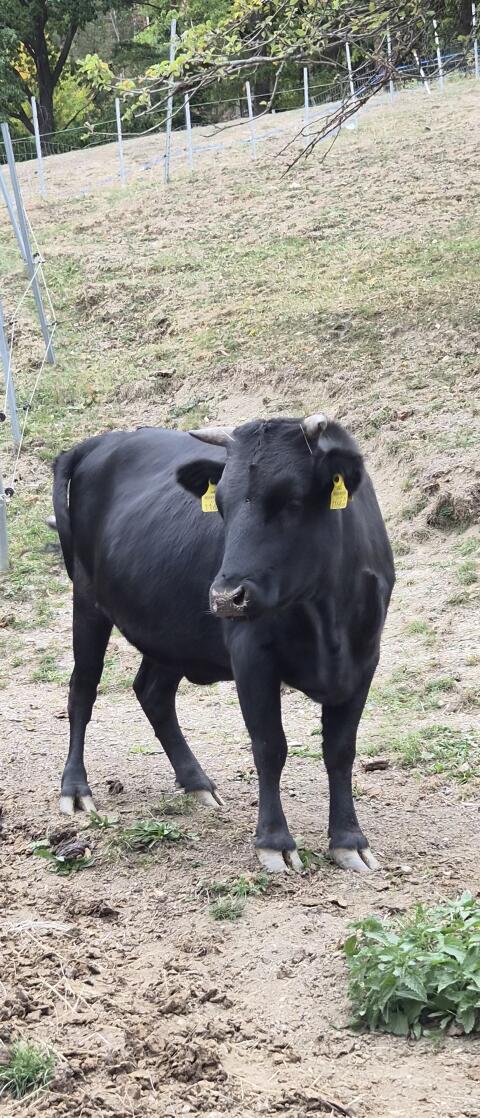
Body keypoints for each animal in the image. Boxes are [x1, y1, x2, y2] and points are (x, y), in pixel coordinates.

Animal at [52, 414, 395, 874]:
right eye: (223, 506)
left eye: (292, 501)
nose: (224, 598)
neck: (327, 614)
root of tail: (100, 442)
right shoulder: (252, 656)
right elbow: (269, 746)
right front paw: (274, 840)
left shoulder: (364, 659)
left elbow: (340, 750)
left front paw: (349, 840)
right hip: (87, 601)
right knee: (83, 690)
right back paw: (75, 788)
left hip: (170, 629)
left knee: (152, 693)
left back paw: (196, 781)